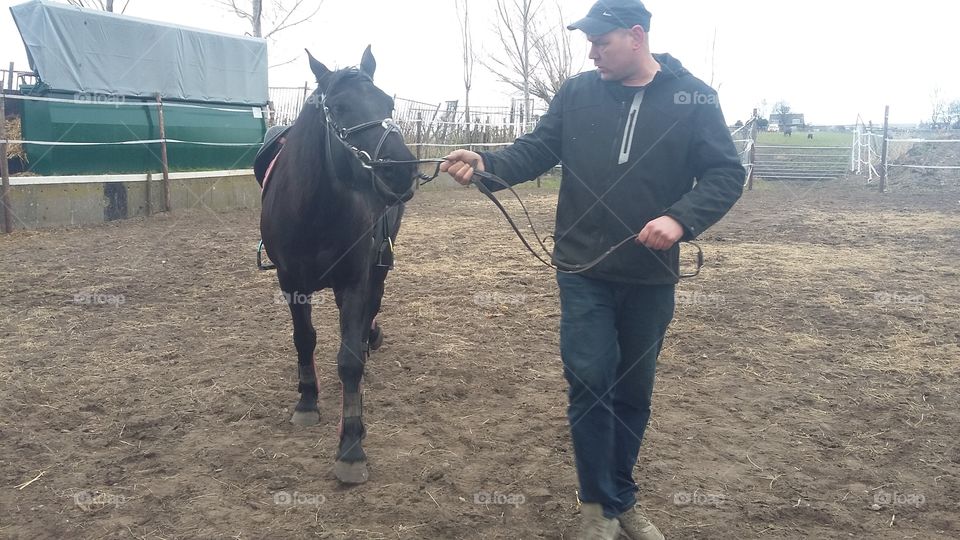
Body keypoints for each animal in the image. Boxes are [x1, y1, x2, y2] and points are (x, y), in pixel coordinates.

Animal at [257, 46, 419, 483]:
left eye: (388, 104)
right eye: (341, 108)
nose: (401, 169)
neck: (314, 209)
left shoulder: (355, 280)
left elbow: (349, 360)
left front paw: (351, 445)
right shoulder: (290, 282)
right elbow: (304, 339)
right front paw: (307, 401)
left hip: (377, 270)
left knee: (370, 313)